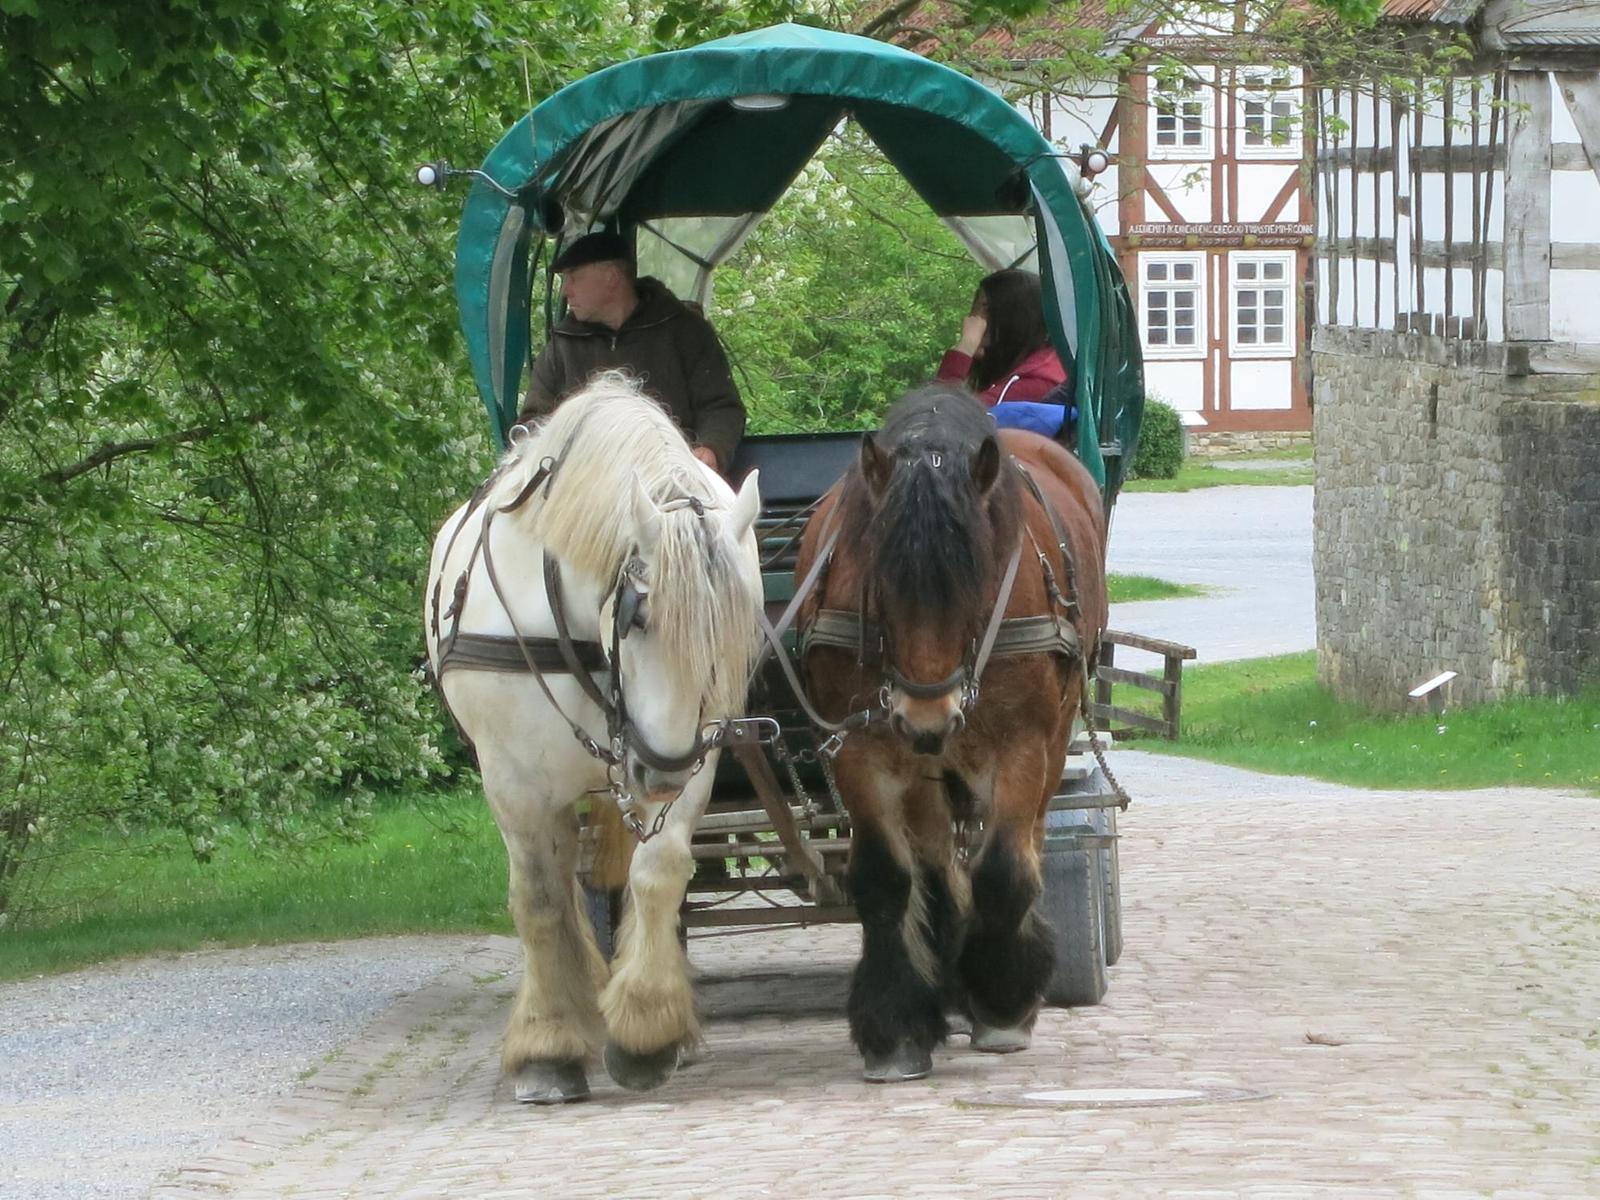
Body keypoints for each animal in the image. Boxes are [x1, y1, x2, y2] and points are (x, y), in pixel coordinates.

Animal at [425, 376, 761, 1107]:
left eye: (737, 626)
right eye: (639, 618)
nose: (660, 771)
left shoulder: (694, 756)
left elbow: (657, 874)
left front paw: (645, 1031)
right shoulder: (514, 780)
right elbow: (542, 899)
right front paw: (548, 1048)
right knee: (562, 884)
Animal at [793, 382, 1107, 1081]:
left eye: (976, 585)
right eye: (880, 585)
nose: (927, 719)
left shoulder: (1021, 744)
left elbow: (1004, 871)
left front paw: (1002, 997)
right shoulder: (865, 749)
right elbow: (885, 877)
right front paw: (896, 1026)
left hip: (1046, 741)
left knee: (1026, 842)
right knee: (936, 861)